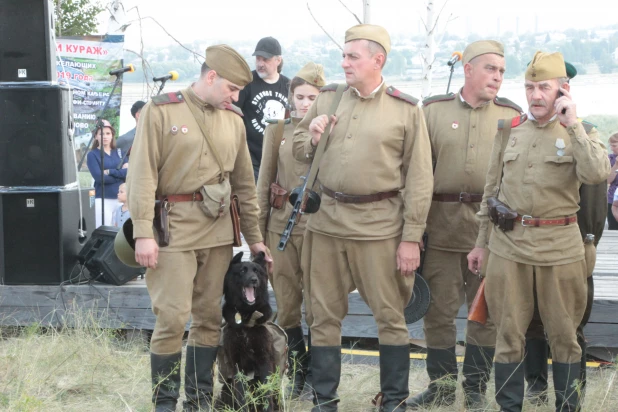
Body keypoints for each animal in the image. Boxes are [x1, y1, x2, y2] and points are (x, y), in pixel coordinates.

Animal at [215, 251, 276, 412]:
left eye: (256, 271)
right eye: (242, 271)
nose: (254, 280)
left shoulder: (264, 360)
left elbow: (266, 394)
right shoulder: (237, 364)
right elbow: (241, 394)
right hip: (224, 392)